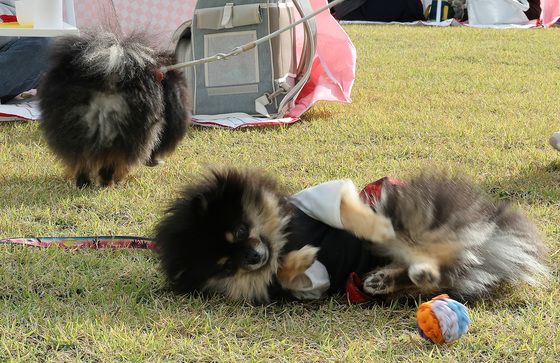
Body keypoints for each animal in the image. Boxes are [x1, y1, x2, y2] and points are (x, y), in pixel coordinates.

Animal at [37, 31, 190, 188]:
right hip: (128, 133)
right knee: (113, 159)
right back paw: (108, 183)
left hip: (70, 126)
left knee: (81, 159)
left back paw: (83, 183)